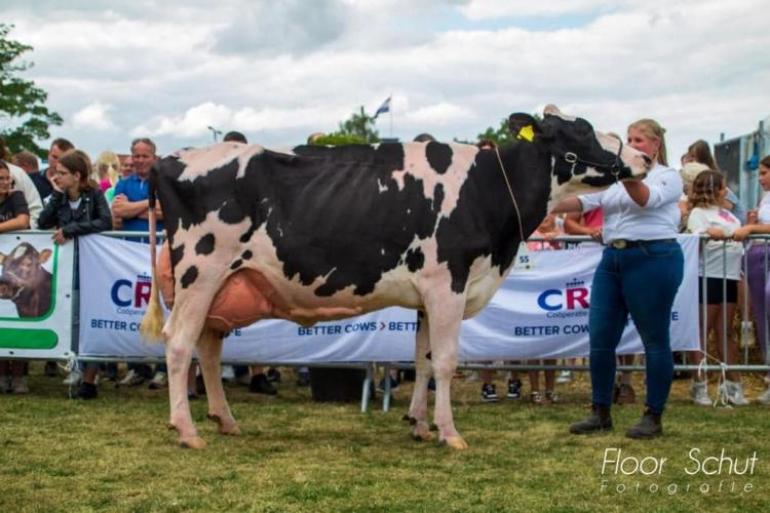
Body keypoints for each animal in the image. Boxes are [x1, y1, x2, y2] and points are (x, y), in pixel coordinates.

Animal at [142, 105, 648, 448]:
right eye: (582, 129)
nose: (643, 158)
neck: (489, 189)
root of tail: (168, 160)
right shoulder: (448, 283)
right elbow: (446, 361)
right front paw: (449, 433)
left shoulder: (428, 294)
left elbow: (422, 359)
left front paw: (420, 425)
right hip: (200, 271)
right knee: (180, 344)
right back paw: (187, 430)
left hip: (224, 285)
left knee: (208, 348)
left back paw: (225, 421)